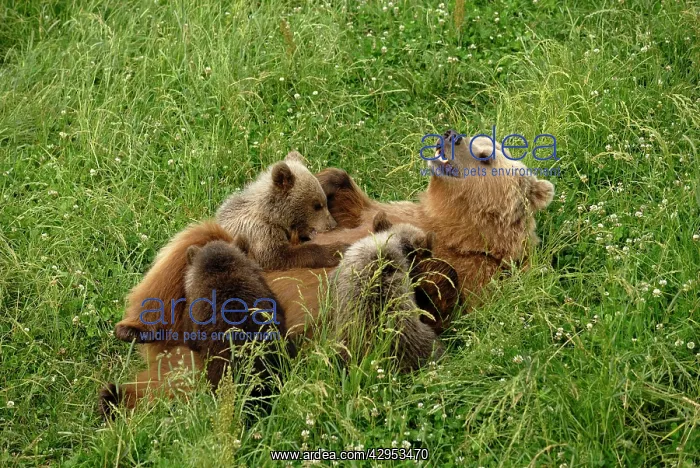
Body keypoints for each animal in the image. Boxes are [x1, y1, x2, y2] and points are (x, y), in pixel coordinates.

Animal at [216, 151, 348, 270]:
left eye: (325, 201)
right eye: (317, 205)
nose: (332, 224)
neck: (270, 215)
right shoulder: (257, 231)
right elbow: (277, 255)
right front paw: (338, 249)